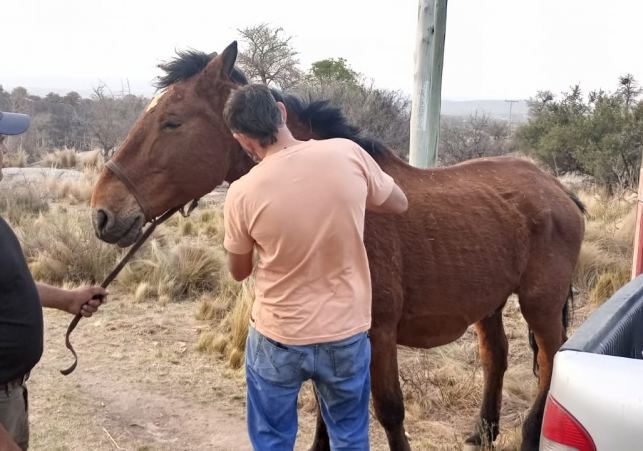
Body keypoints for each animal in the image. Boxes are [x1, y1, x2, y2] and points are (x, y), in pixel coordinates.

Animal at [92, 42, 588, 451]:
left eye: (171, 122)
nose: (102, 213)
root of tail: (559, 191)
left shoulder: (378, 335)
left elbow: (389, 411)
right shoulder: (325, 334)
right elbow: (324, 418)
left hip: (540, 305)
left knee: (550, 361)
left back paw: (528, 435)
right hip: (488, 302)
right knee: (495, 358)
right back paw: (483, 432)